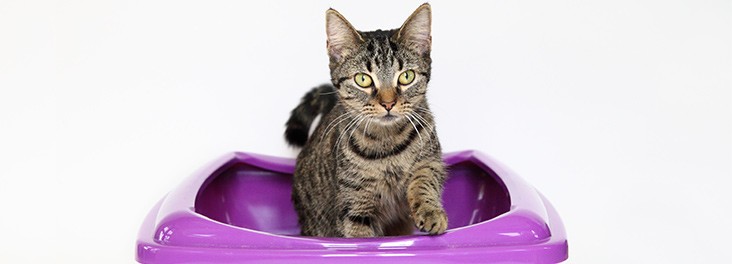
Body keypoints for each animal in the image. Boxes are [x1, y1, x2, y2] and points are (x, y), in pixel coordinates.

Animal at [284, 2, 446, 237]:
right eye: (363, 79)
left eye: (406, 76)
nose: (388, 103)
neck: (388, 144)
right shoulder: (355, 206)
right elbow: (360, 236)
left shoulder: (430, 161)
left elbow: (425, 181)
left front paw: (431, 211)